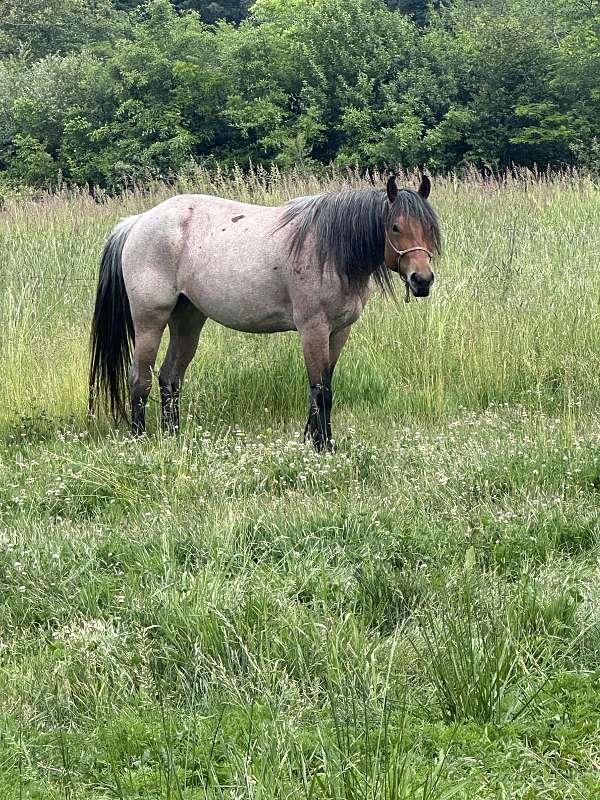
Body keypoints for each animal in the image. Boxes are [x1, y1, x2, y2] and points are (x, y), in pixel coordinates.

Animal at [89, 174, 441, 450]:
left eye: (429, 228)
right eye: (395, 227)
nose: (422, 280)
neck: (329, 251)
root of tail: (137, 223)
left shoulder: (339, 332)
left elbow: (326, 387)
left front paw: (317, 441)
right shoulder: (313, 330)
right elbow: (320, 390)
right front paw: (322, 447)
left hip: (188, 321)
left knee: (170, 377)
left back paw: (173, 438)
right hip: (150, 321)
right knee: (140, 378)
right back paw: (139, 440)